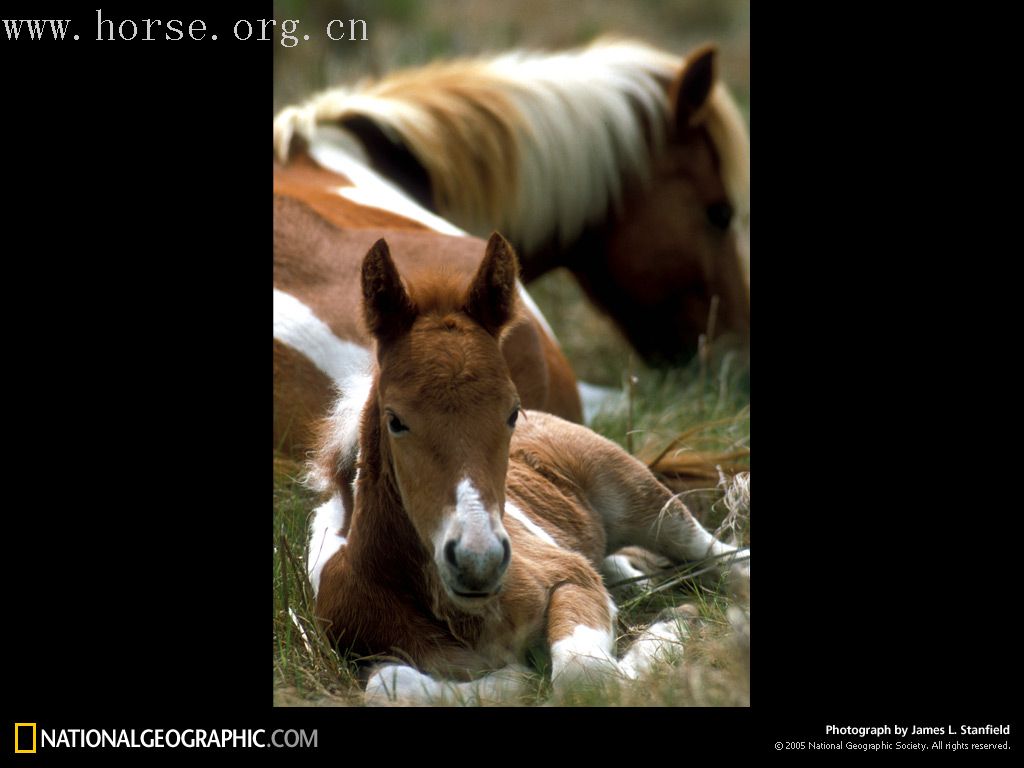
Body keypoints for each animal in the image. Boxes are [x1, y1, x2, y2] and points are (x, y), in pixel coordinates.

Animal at [307, 236, 749, 708]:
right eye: (395, 420)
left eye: (511, 411)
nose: (478, 561)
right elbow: (390, 684)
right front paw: (517, 678)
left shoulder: (569, 577)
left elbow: (586, 674)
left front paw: (670, 627)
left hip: (643, 498)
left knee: (720, 555)